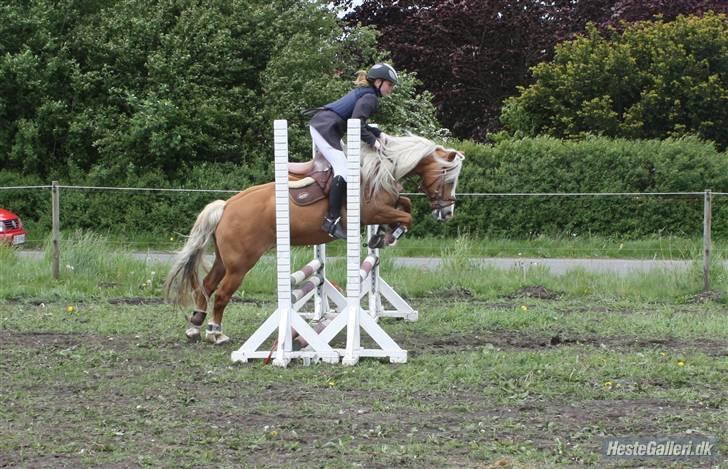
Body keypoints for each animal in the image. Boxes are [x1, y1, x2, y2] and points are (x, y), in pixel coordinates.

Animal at [163, 133, 464, 342]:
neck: (377, 168)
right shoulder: (372, 211)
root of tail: (226, 206)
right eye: (449, 179)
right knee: (223, 293)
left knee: (207, 284)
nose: (447, 213)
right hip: (241, 263)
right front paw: (388, 236)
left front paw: (382, 235)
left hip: (225, 259)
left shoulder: (384, 207)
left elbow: (405, 205)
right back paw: (216, 333)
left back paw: (195, 327)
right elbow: (406, 216)